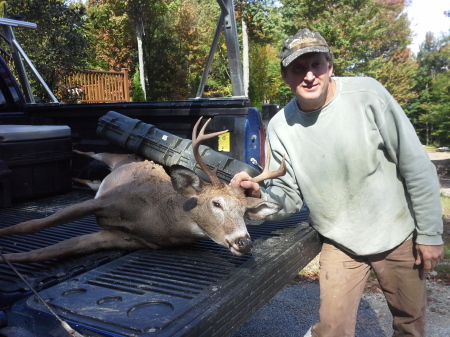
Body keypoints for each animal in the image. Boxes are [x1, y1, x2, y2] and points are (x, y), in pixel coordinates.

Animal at [0, 117, 286, 262]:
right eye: (216, 203)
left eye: (244, 212)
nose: (244, 243)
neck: (155, 214)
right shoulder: (110, 198)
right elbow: (33, 224)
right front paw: (5, 234)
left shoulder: (125, 239)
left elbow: (53, 251)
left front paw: (8, 258)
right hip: (113, 157)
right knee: (92, 152)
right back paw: (72, 149)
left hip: (100, 181)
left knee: (88, 182)